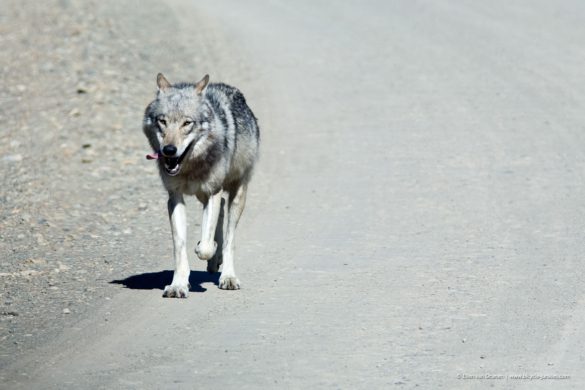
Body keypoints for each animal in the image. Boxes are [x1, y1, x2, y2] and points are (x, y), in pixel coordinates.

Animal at [143, 74, 258, 298]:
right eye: (163, 121)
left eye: (187, 123)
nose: (169, 150)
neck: (190, 167)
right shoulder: (175, 197)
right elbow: (179, 246)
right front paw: (178, 285)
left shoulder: (212, 191)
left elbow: (205, 247)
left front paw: (205, 248)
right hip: (203, 195)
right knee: (221, 210)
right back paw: (215, 262)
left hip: (236, 195)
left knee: (229, 238)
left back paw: (227, 276)